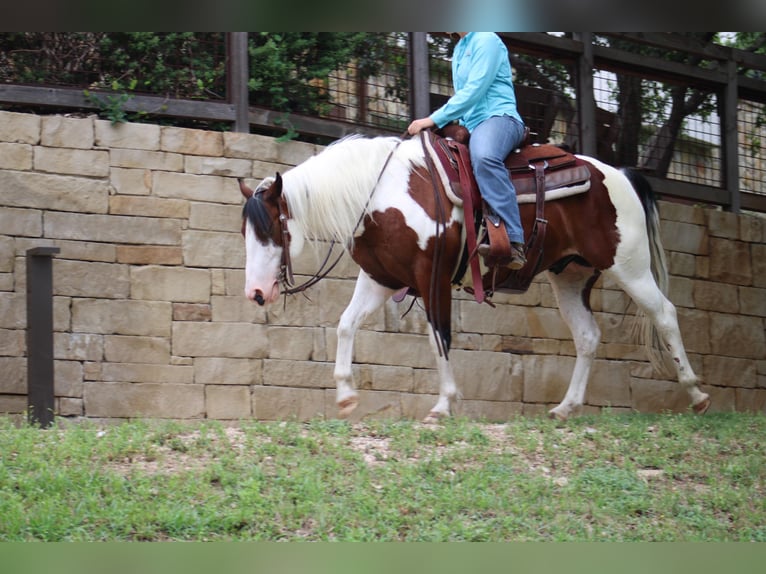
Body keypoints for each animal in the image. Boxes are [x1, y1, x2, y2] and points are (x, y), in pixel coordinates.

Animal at [242, 134, 712, 424]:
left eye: (269, 231)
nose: (256, 293)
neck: (380, 193)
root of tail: (618, 175)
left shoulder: (430, 278)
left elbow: (439, 337)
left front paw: (443, 405)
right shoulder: (380, 278)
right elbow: (345, 324)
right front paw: (344, 396)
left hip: (629, 265)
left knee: (665, 314)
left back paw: (697, 394)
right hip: (571, 277)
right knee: (588, 337)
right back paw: (565, 408)